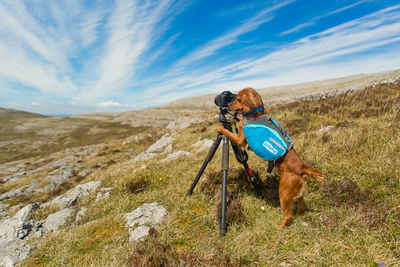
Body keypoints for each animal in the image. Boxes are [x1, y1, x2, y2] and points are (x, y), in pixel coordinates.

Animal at [217, 88, 324, 230]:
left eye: (238, 99)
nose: (227, 105)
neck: (256, 113)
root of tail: (302, 167)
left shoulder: (240, 140)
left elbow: (228, 132)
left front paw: (221, 128)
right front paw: (238, 117)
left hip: (283, 191)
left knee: (288, 215)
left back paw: (280, 227)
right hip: (298, 191)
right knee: (301, 205)